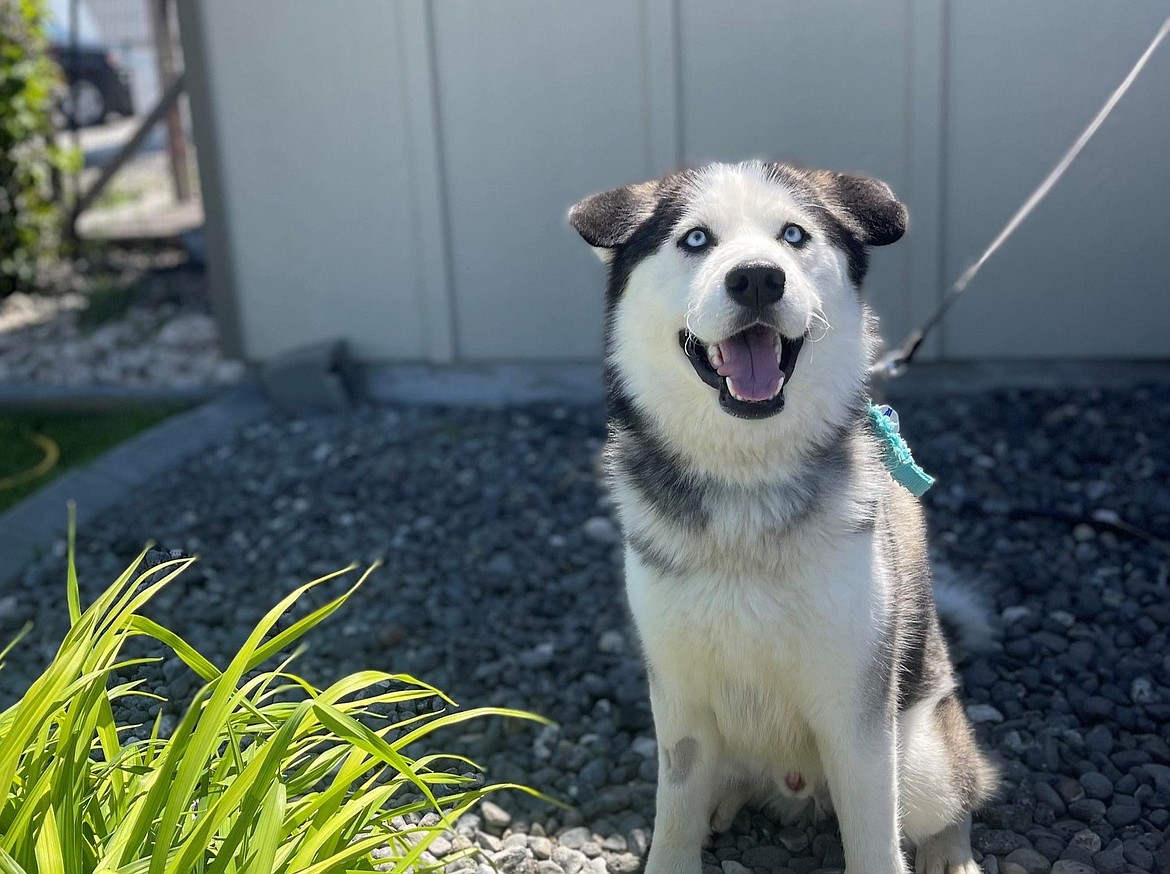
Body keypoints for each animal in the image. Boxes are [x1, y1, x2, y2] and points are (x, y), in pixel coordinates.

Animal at [566, 162, 996, 874]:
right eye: (696, 238)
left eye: (793, 235)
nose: (758, 278)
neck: (747, 480)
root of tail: (798, 791)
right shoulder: (679, 698)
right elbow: (674, 810)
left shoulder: (857, 707)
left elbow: (876, 837)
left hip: (925, 756)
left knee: (960, 794)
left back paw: (949, 852)